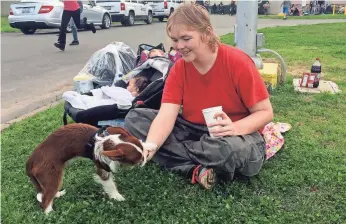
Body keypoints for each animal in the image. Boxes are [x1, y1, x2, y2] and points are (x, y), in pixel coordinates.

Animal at [27, 123, 155, 214]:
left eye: (142, 155)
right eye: (138, 161)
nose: (145, 159)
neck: (104, 141)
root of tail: (31, 160)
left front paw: (150, 145)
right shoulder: (102, 168)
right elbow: (109, 184)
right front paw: (117, 196)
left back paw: (57, 195)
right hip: (52, 176)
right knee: (45, 200)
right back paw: (50, 213)